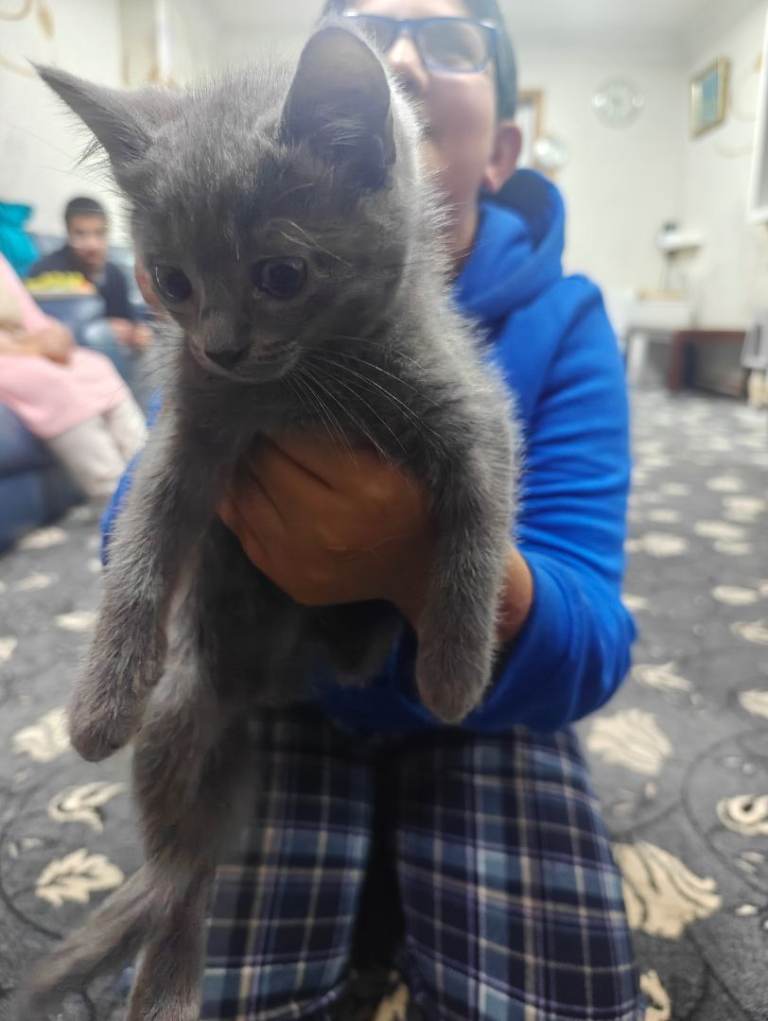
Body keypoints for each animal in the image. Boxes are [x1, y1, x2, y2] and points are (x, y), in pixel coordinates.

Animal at [17, 21, 517, 1020]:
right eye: (170, 280)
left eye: (281, 274)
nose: (221, 345)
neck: (301, 386)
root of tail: (259, 692)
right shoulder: (187, 437)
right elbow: (140, 545)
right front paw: (99, 701)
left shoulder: (473, 415)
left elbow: (477, 530)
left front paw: (452, 671)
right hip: (182, 710)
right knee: (182, 870)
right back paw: (165, 983)